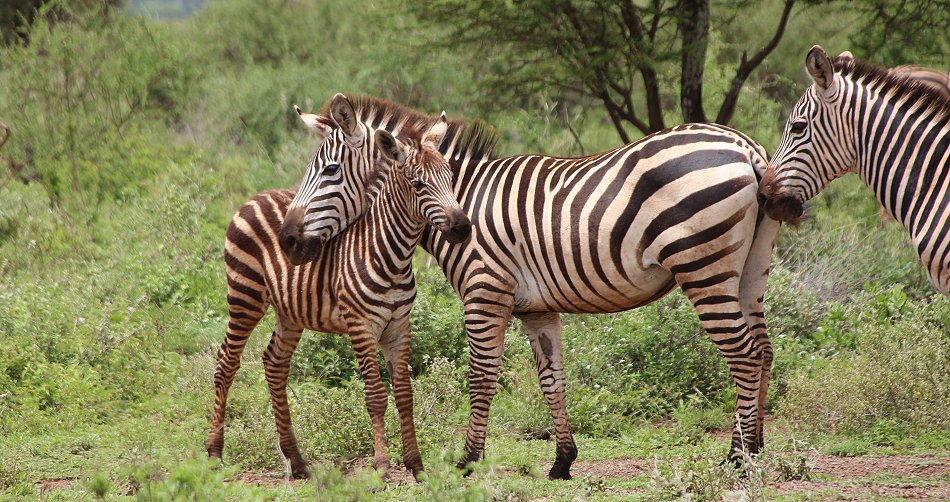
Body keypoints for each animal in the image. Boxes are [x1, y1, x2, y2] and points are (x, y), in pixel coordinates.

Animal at [205, 106, 472, 478]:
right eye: (418, 185)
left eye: (450, 178)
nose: (462, 228)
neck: (392, 253)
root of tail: (255, 195)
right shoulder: (361, 325)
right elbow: (376, 395)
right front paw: (382, 467)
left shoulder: (399, 327)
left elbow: (405, 394)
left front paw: (416, 465)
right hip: (245, 294)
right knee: (226, 363)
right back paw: (214, 452)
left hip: (290, 310)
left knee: (274, 363)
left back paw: (296, 460)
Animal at [278, 95, 784, 478]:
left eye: (328, 172)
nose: (287, 240)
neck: (458, 199)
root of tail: (747, 147)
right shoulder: (537, 308)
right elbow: (552, 380)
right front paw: (562, 462)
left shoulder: (485, 291)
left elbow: (482, 376)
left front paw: (468, 461)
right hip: (751, 269)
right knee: (762, 348)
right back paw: (757, 447)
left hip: (703, 265)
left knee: (741, 353)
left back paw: (738, 458)